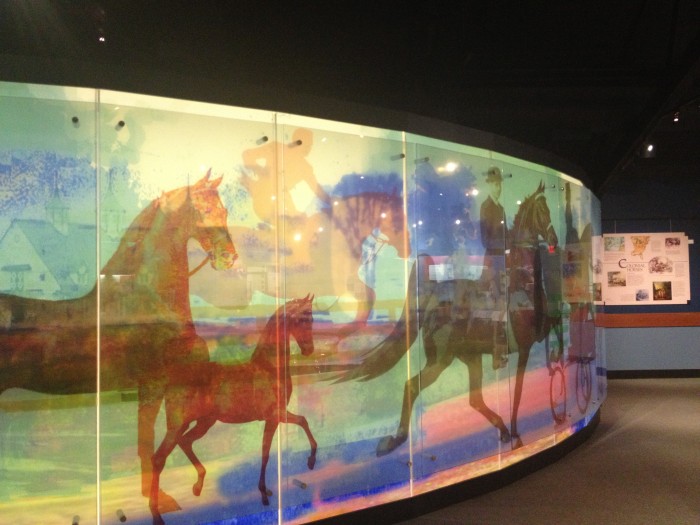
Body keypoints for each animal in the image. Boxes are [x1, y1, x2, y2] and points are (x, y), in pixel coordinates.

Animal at [0, 170, 237, 510]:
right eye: (203, 210)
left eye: (224, 211)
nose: (228, 257)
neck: (148, 299)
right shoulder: (153, 384)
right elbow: (148, 441)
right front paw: (157, 499)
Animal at [149, 294, 316, 525]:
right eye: (301, 319)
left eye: (311, 318)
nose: (309, 350)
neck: (269, 368)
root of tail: (173, 379)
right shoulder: (275, 415)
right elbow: (282, 438)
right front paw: (306, 464)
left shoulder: (274, 417)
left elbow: (283, 437)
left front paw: (268, 489)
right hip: (177, 425)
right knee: (159, 459)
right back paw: (156, 514)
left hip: (204, 422)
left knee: (186, 442)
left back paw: (197, 486)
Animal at [333, 181, 559, 454]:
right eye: (542, 210)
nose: (554, 240)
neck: (523, 281)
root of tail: (433, 298)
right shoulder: (525, 346)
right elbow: (517, 392)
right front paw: (518, 435)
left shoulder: (539, 332)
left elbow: (556, 325)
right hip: (441, 360)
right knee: (413, 386)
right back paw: (396, 439)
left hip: (471, 356)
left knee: (474, 398)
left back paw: (502, 430)